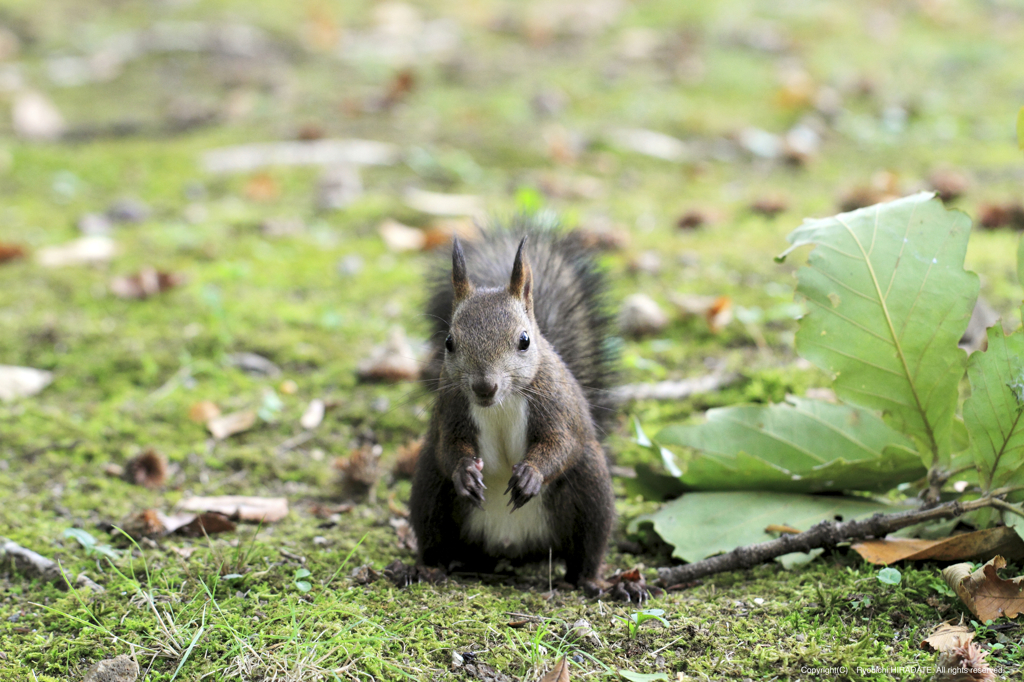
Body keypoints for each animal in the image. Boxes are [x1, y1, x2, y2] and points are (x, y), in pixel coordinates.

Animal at [407, 223, 614, 589]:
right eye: (449, 342)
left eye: (524, 340)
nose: (484, 386)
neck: (499, 404)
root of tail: (510, 545)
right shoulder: (450, 410)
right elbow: (448, 447)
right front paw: (465, 472)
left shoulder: (556, 406)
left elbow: (560, 442)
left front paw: (531, 473)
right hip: (429, 489)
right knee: (437, 538)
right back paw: (427, 568)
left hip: (591, 486)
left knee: (586, 550)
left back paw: (597, 583)